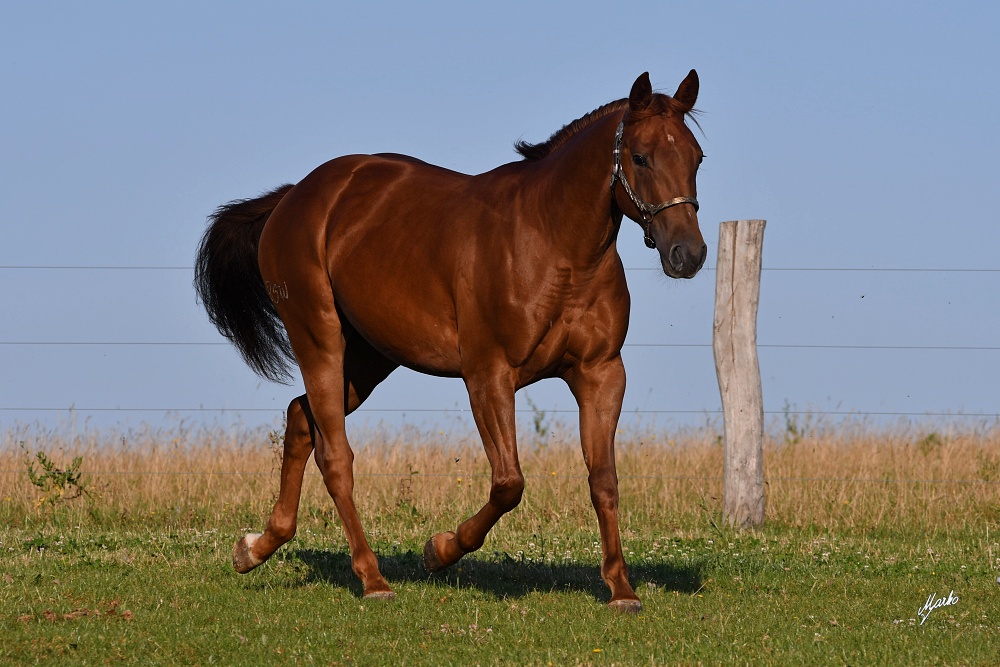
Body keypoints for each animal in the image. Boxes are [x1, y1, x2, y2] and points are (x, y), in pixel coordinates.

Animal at [195, 69, 708, 612]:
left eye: (697, 157)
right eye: (641, 156)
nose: (688, 253)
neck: (554, 246)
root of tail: (296, 197)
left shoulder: (601, 373)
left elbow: (603, 480)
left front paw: (621, 588)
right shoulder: (488, 376)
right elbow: (508, 484)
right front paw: (439, 550)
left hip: (370, 357)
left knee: (300, 418)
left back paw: (256, 547)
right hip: (320, 340)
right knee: (335, 456)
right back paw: (372, 578)